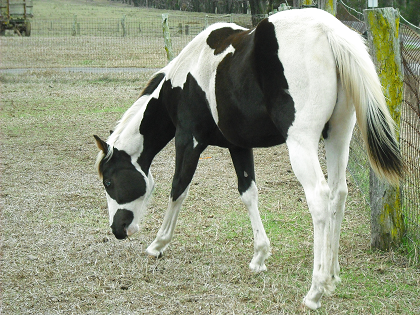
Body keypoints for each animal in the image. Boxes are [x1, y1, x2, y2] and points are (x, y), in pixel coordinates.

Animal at [94, 8, 404, 312]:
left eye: (108, 181)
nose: (117, 230)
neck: (185, 77)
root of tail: (329, 31)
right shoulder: (239, 146)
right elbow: (248, 193)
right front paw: (259, 256)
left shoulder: (188, 140)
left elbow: (178, 188)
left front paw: (158, 244)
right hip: (338, 135)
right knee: (339, 193)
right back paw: (332, 275)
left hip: (301, 143)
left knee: (320, 198)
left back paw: (315, 291)